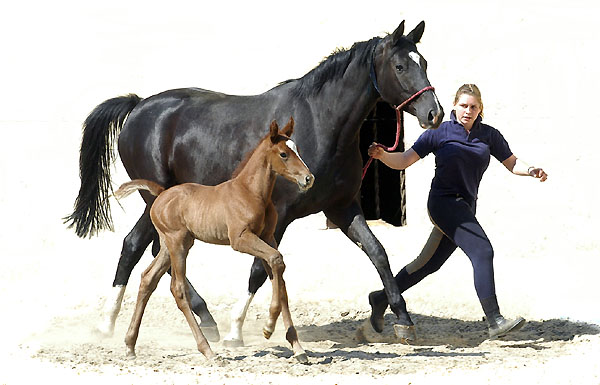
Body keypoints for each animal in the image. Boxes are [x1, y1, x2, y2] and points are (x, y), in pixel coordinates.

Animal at [115, 118, 316, 364]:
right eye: (284, 154)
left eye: (297, 150)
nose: (308, 178)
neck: (250, 193)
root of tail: (161, 193)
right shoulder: (240, 239)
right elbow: (277, 261)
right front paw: (268, 328)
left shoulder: (268, 237)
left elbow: (281, 281)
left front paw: (298, 348)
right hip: (178, 244)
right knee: (177, 289)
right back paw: (208, 350)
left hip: (171, 246)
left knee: (148, 279)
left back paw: (129, 345)